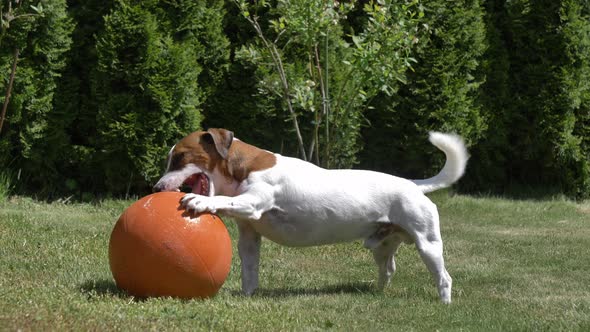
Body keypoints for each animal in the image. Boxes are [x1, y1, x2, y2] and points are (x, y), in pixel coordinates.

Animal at [155, 127, 470, 304]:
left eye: (180, 157)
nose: (157, 188)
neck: (242, 168)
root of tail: (413, 185)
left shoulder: (254, 201)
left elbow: (224, 200)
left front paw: (200, 201)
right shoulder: (249, 235)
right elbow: (249, 270)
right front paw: (247, 296)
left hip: (428, 243)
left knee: (444, 277)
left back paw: (444, 303)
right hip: (382, 245)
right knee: (388, 268)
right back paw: (377, 293)